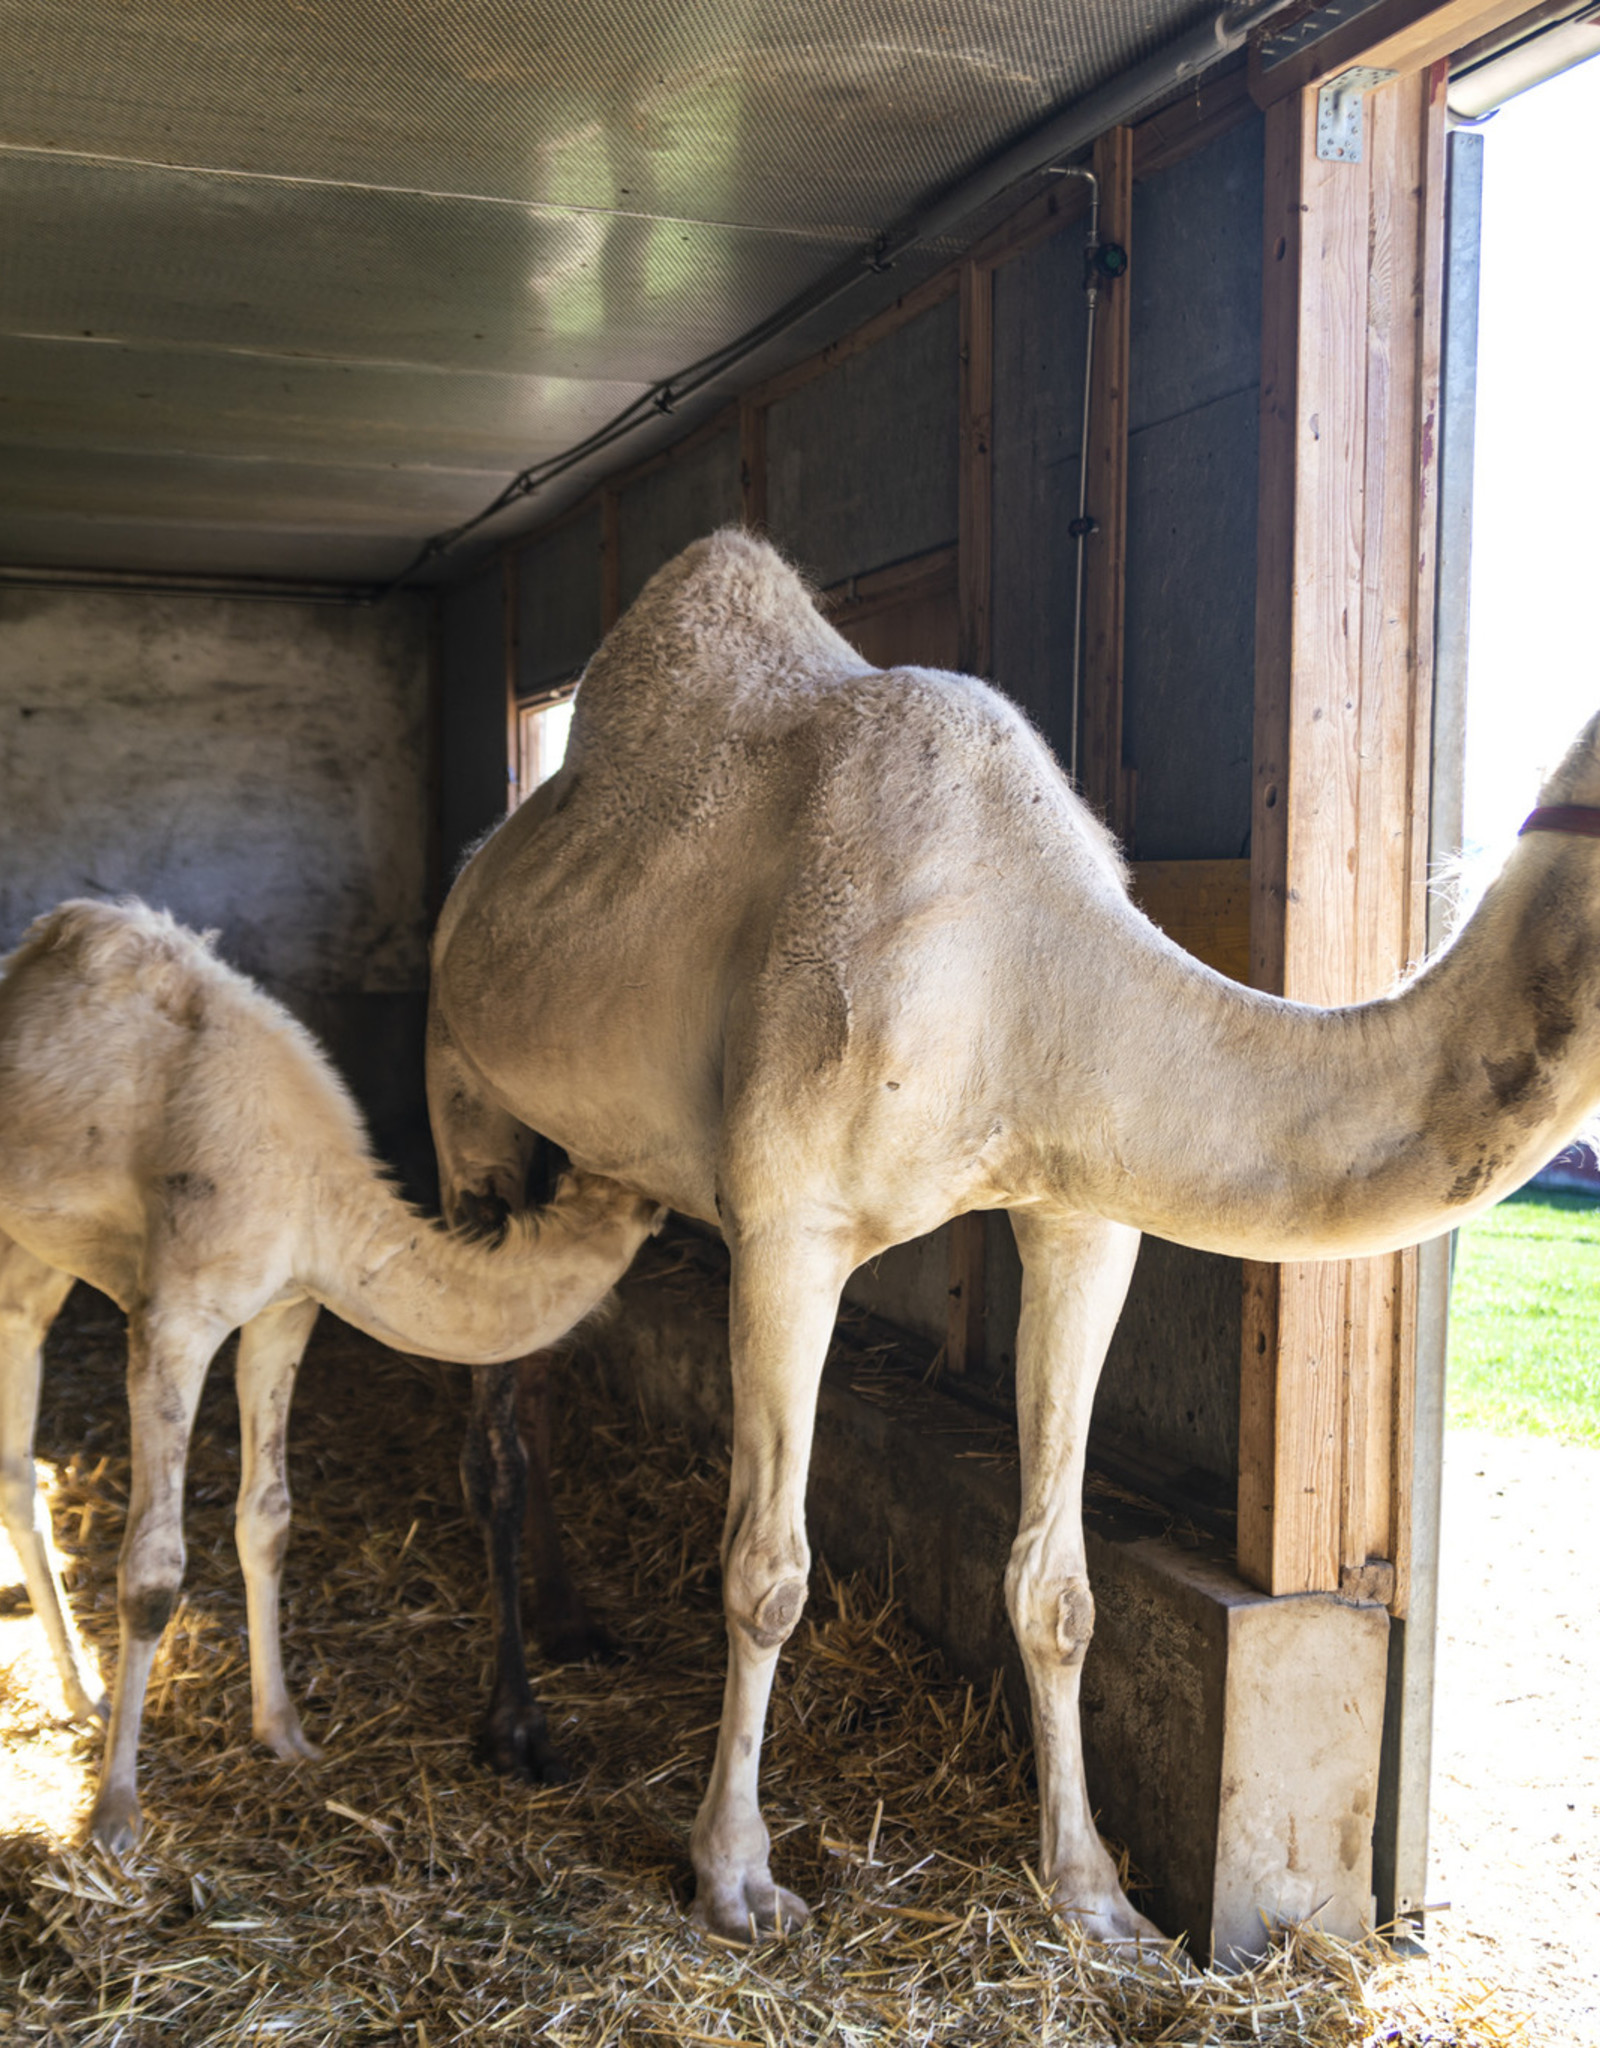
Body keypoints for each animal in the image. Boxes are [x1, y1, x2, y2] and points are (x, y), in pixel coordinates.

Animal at [0, 901, 659, 1859]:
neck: (320, 1200)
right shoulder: (173, 1316)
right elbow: (152, 1571)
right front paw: (117, 1816)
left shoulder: (287, 1307)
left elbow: (268, 1519)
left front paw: (285, 1734)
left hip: (36, 1250)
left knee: (18, 1426)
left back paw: (81, 1695)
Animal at [428, 528, 1597, 1933]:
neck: (1027, 970)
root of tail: (479, 876)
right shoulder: (785, 1225)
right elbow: (766, 1571)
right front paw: (735, 1874)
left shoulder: (1080, 1214)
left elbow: (1059, 1588)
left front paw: (1093, 1894)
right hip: (466, 1095)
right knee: (490, 1399)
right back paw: (517, 1720)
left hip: (603, 1157)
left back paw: (570, 1620)